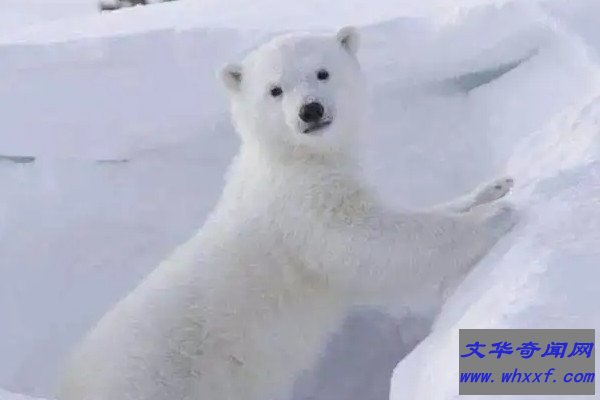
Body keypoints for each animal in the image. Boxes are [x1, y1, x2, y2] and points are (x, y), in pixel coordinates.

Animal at [57, 27, 518, 400]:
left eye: (322, 72)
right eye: (275, 89)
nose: (310, 110)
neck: (293, 159)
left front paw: (492, 188)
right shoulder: (299, 209)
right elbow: (365, 244)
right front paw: (496, 216)